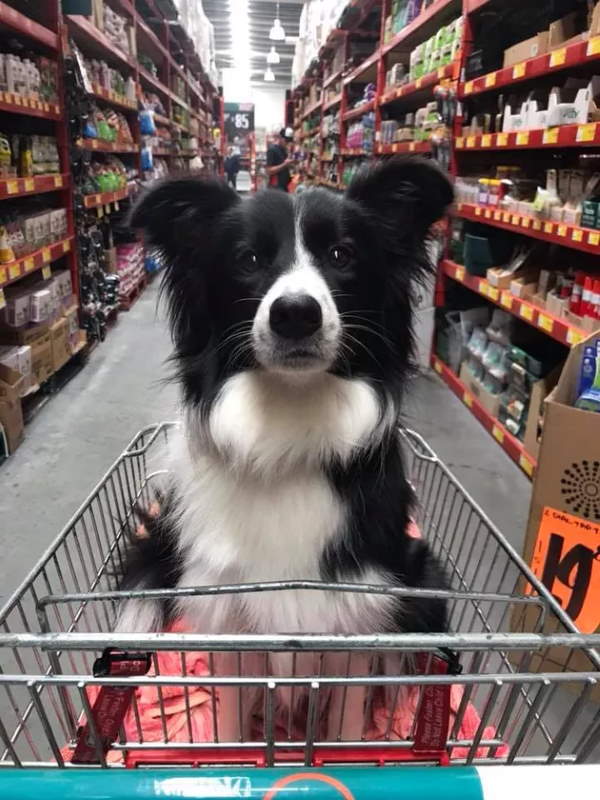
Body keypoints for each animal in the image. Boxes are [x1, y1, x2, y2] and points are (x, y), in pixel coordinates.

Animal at [123, 156, 454, 744]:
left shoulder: (358, 613)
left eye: (342, 255)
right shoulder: (230, 616)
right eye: (248, 259)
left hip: (422, 579)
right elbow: (233, 734)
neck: (288, 425)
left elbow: (343, 736)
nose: (296, 313)